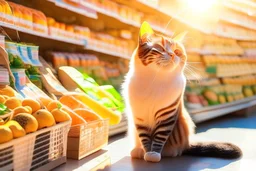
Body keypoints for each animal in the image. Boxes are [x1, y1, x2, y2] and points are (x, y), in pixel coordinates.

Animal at [122, 22, 242, 162]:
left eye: (177, 52)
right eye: (161, 48)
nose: (173, 55)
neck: (155, 79)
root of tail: (187, 143)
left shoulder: (167, 115)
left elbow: (159, 138)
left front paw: (154, 154)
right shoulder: (140, 116)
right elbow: (145, 138)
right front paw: (147, 152)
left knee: (176, 150)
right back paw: (138, 151)